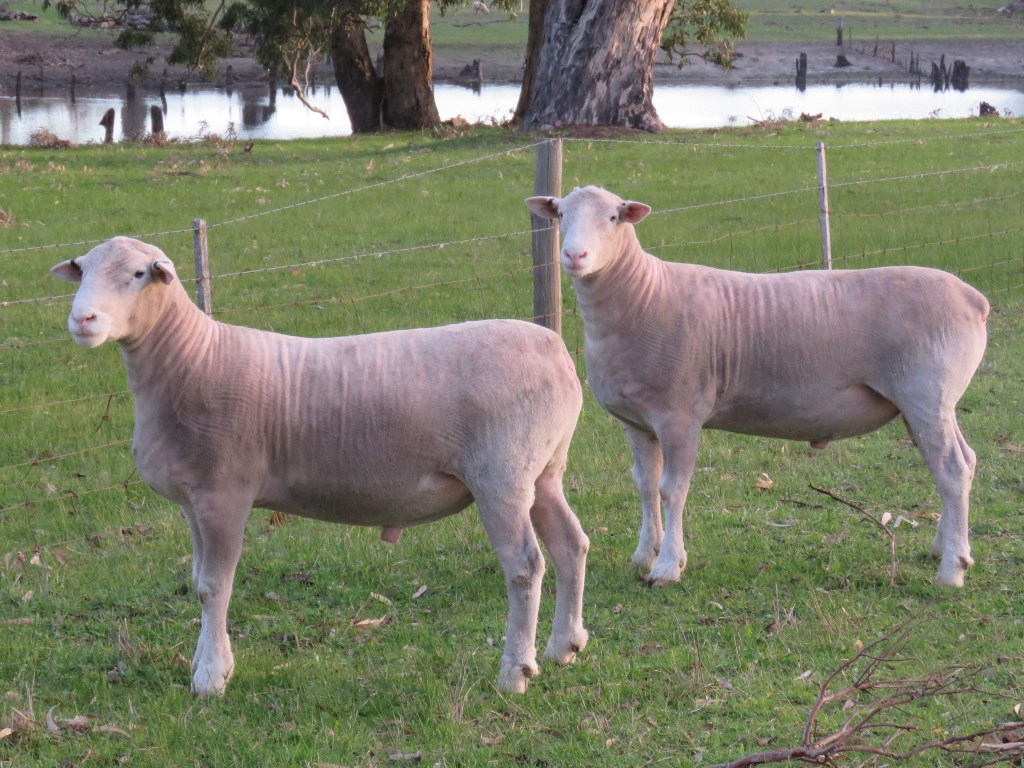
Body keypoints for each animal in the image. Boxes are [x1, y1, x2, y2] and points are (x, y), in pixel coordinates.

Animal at [51, 236, 589, 696]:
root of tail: (558, 352)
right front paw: (210, 664)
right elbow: (200, 580)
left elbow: (214, 586)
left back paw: (515, 671)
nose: (82, 319)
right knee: (571, 544)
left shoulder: (224, 494)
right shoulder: (192, 501)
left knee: (524, 565)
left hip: (502, 474)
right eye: (83, 269)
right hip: (543, 471)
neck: (191, 358)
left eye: (139, 273)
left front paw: (210, 678)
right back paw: (564, 646)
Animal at [526, 185, 989, 588]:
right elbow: (643, 483)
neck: (642, 294)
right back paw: (948, 549)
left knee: (950, 468)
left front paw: (668, 567)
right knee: (961, 462)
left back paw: (951, 571)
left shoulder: (680, 415)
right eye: (561, 215)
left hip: (926, 392)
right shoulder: (636, 421)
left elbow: (672, 490)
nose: (574, 255)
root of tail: (974, 299)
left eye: (612, 218)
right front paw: (645, 554)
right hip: (929, 403)